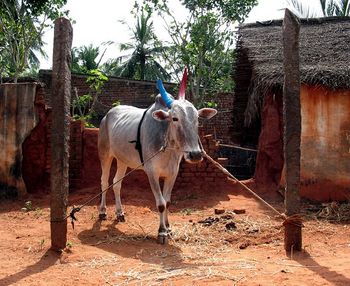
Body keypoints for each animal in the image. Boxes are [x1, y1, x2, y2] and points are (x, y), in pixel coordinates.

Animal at [96, 70, 216, 244]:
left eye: (197, 119)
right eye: (175, 118)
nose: (195, 154)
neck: (168, 148)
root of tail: (107, 115)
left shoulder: (172, 173)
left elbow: (168, 202)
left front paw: (169, 228)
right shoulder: (151, 172)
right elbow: (160, 203)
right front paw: (162, 232)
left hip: (122, 160)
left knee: (116, 183)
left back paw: (119, 213)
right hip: (105, 154)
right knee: (104, 182)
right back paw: (103, 211)